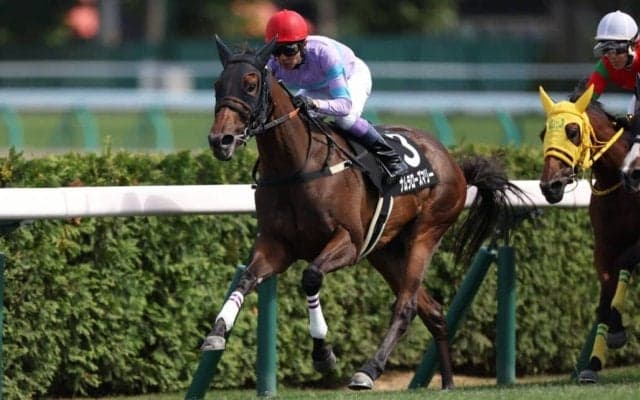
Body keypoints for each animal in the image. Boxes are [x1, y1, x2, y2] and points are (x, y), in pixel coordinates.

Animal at [203, 35, 528, 391]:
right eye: (218, 84)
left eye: (250, 84)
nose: (221, 140)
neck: (297, 166)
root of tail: (455, 165)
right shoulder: (277, 245)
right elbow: (246, 278)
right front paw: (217, 333)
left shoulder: (349, 242)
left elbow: (311, 276)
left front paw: (323, 353)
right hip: (385, 251)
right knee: (432, 311)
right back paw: (447, 383)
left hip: (426, 232)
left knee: (406, 306)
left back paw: (368, 370)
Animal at [539, 84, 639, 383]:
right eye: (543, 133)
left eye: (573, 131)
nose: (550, 186)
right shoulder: (603, 245)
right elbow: (606, 286)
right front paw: (594, 362)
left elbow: (623, 263)